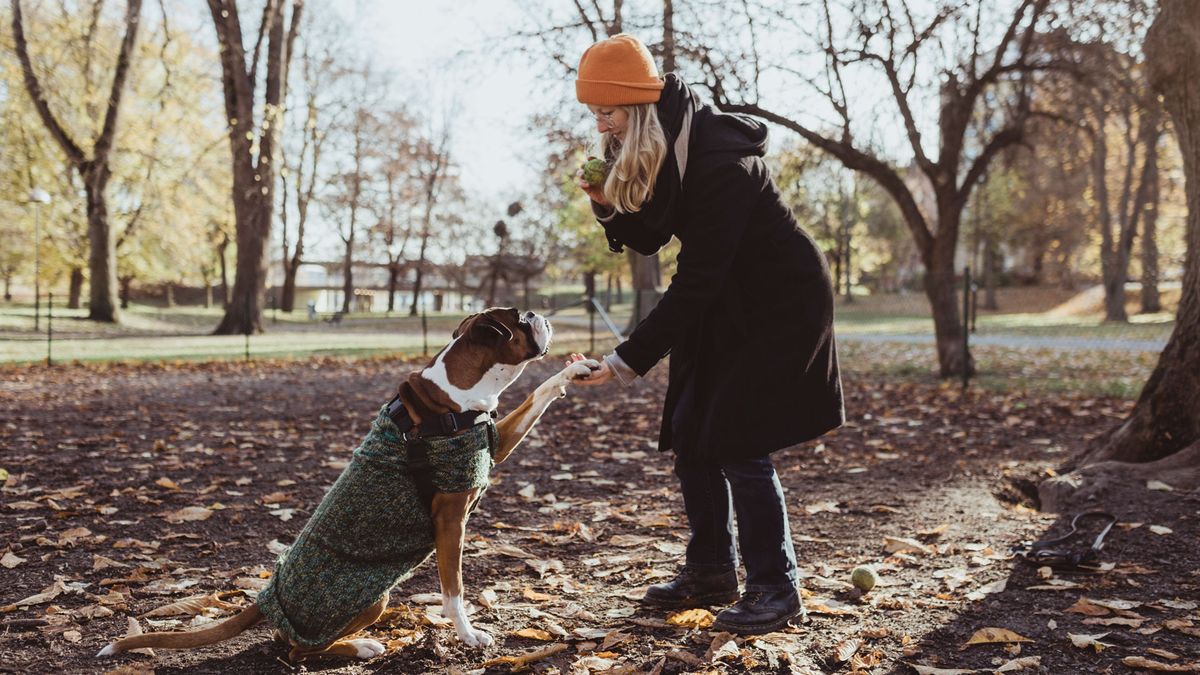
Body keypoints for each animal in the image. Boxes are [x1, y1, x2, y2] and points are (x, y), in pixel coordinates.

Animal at [99, 307, 600, 658]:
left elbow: (538, 394)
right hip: (368, 599)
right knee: (298, 651)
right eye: (521, 320)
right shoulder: (449, 519)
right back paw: (360, 646)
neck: (451, 400)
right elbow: (453, 591)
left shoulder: (493, 445)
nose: (540, 314)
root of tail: (269, 596)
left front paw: (575, 370)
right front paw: (469, 634)